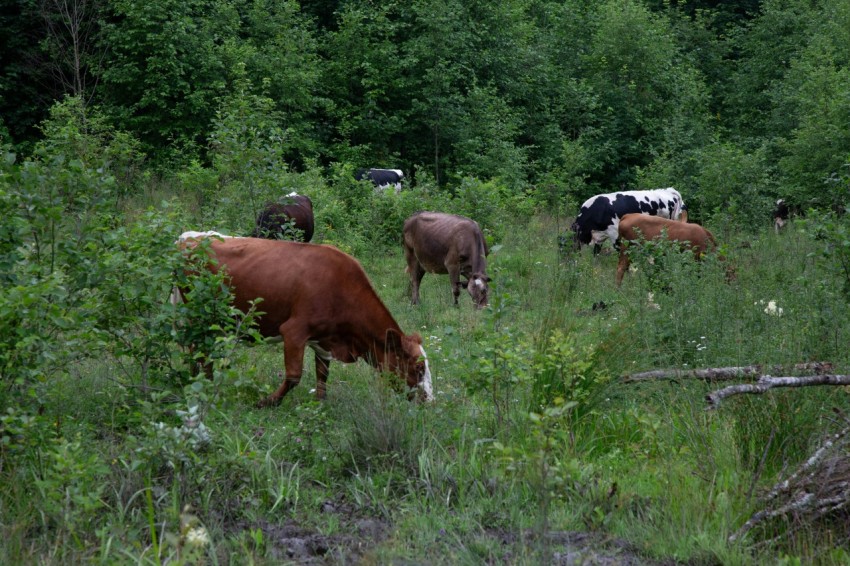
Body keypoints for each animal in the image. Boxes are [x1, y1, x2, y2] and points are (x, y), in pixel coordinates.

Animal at [177, 235, 433, 406]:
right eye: (418, 368)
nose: (429, 401)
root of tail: (191, 240)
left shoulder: (324, 339)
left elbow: (322, 373)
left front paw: (320, 403)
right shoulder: (294, 331)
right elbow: (293, 375)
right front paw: (268, 401)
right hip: (197, 314)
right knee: (198, 348)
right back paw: (204, 383)